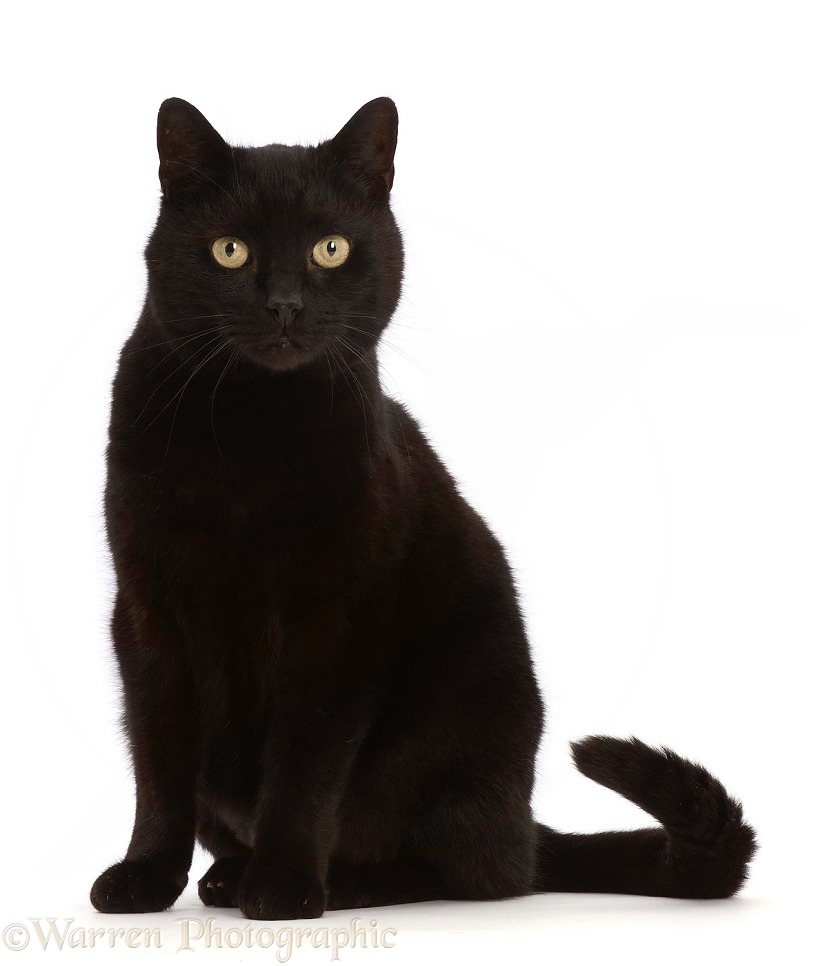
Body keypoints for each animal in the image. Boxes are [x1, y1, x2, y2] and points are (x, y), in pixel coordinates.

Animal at [89, 96, 760, 924]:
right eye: (230, 251)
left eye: (331, 249)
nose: (284, 304)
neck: (251, 434)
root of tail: (525, 825)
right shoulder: (148, 611)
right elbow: (157, 765)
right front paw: (144, 876)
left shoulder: (337, 620)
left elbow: (304, 768)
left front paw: (283, 886)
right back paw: (225, 877)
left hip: (459, 713)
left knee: (467, 871)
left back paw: (333, 883)